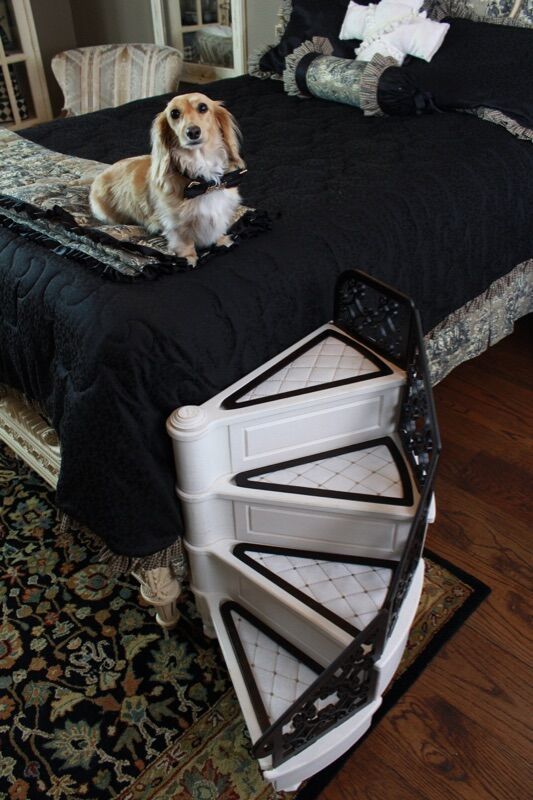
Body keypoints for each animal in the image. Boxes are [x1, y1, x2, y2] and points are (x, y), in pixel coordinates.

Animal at [89, 90, 245, 266]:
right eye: (174, 113)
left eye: (203, 107)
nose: (192, 132)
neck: (203, 183)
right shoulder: (176, 224)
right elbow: (185, 242)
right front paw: (189, 259)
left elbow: (218, 230)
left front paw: (223, 242)